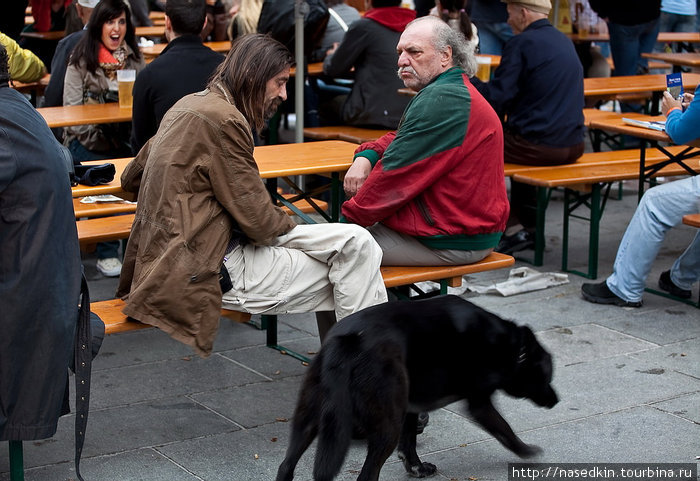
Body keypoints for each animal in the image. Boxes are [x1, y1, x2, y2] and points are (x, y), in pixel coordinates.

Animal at [274, 292, 556, 480]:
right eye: (547, 376)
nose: (557, 400)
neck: (510, 345)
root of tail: (350, 340)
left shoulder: (410, 406)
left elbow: (409, 440)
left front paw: (416, 467)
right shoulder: (480, 404)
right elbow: (505, 430)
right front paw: (527, 451)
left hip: (308, 419)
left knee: (286, 465)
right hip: (385, 426)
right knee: (367, 475)